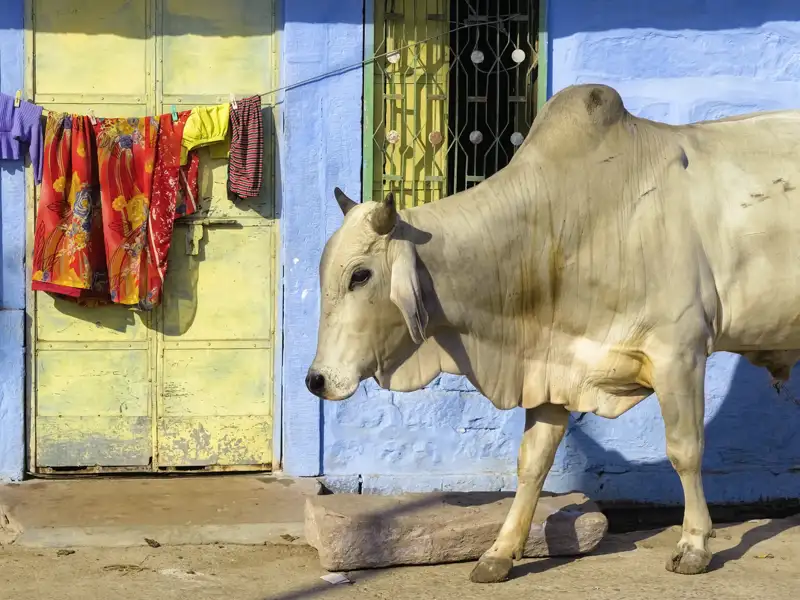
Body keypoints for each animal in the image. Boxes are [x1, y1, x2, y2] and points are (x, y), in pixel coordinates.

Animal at [305, 83, 800, 583]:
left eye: (360, 275)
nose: (316, 380)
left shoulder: (680, 352)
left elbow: (686, 450)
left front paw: (694, 544)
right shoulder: (553, 366)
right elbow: (533, 462)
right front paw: (499, 553)